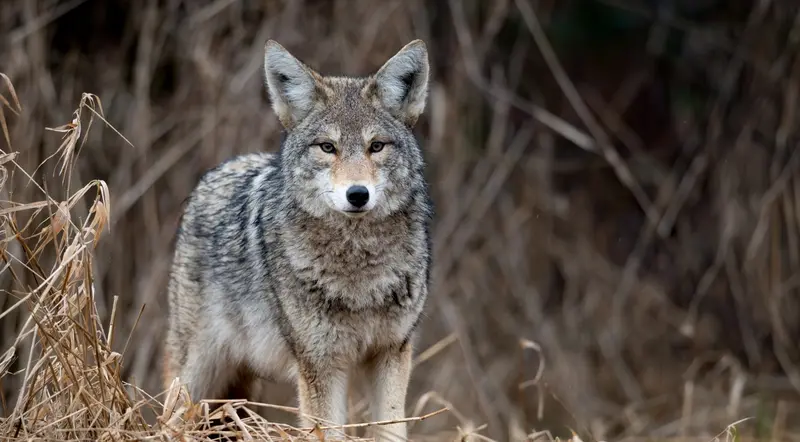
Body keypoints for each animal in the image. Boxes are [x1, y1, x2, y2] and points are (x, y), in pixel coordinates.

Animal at [162, 38, 433, 441]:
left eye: (377, 146)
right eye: (327, 147)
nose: (357, 194)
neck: (359, 268)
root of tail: (218, 170)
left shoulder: (391, 352)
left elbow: (391, 428)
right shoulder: (319, 365)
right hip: (196, 374)